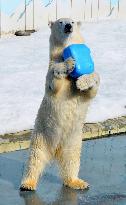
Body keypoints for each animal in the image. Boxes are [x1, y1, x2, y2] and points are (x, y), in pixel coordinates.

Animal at [19, 17, 99, 191]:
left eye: (73, 22)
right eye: (61, 22)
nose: (68, 26)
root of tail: (55, 150)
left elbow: (92, 87)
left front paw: (83, 82)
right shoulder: (51, 71)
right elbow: (55, 83)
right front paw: (69, 63)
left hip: (73, 141)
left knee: (72, 161)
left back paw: (78, 182)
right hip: (41, 136)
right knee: (35, 159)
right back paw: (28, 184)